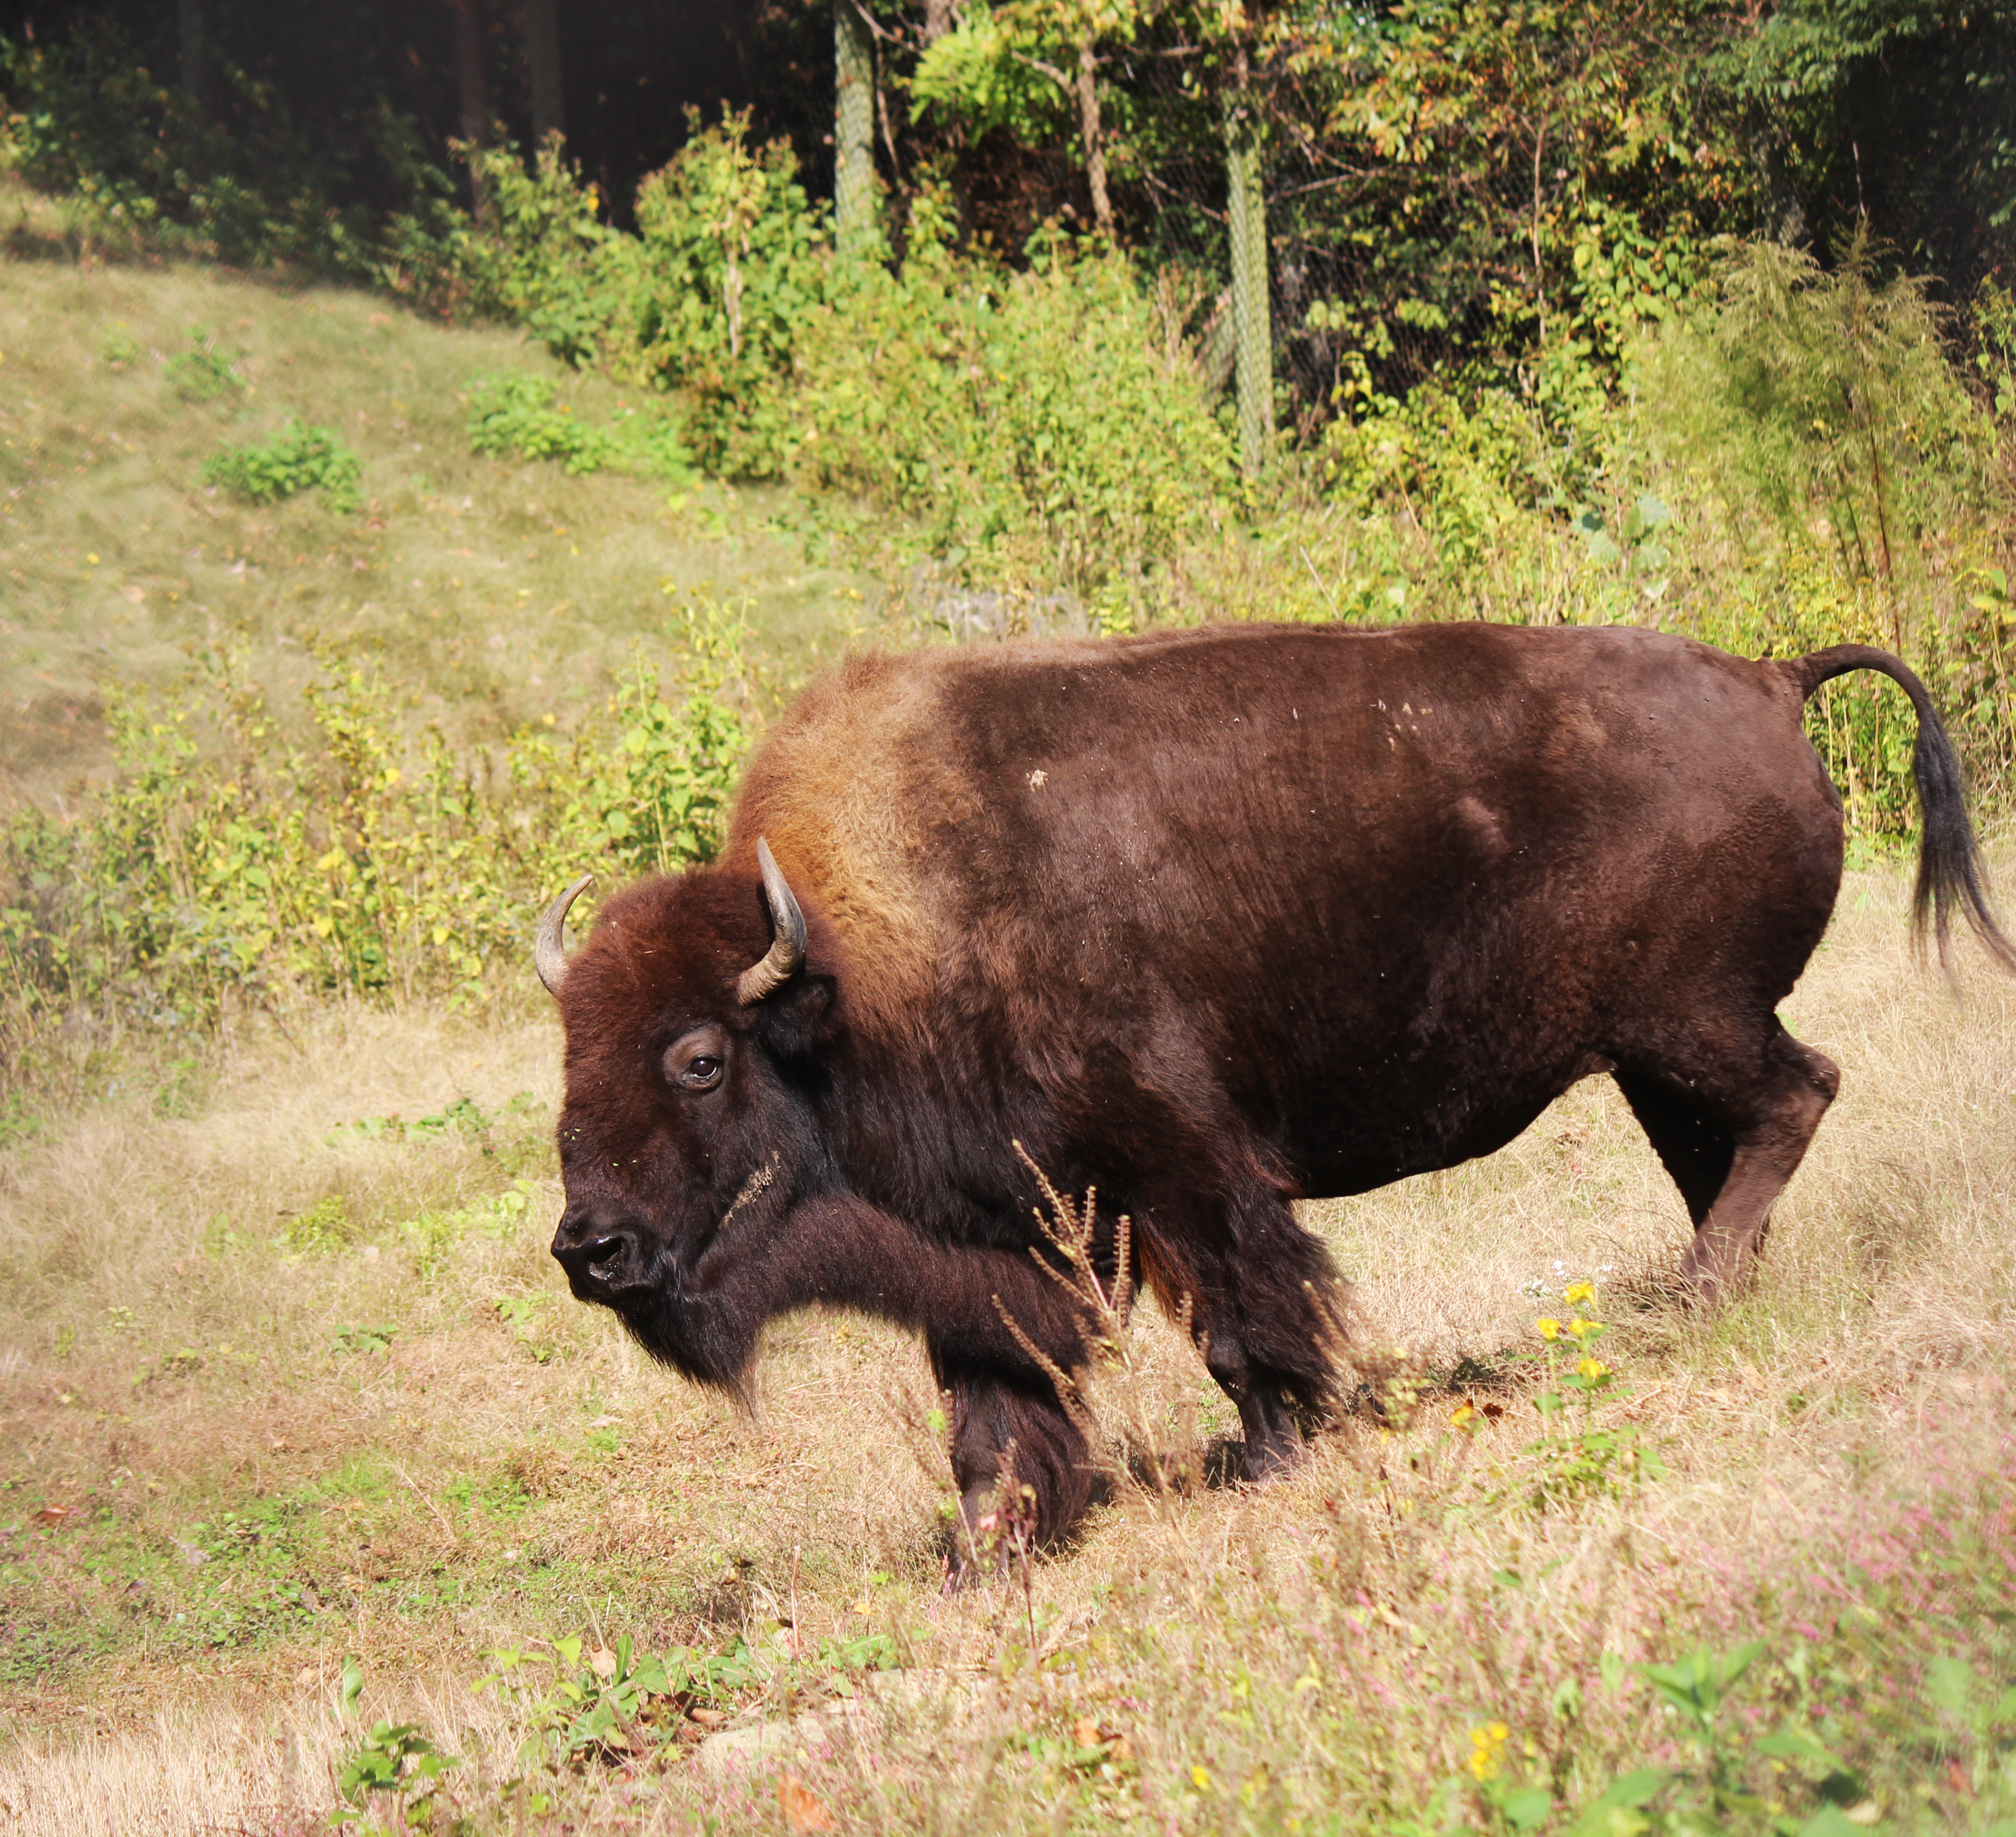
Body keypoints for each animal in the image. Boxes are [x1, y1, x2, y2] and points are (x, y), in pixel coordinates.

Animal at [536, 621, 2012, 1554]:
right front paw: (991, 1544)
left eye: (696, 1057)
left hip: (1689, 1022)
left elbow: (1245, 1328)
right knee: (1731, 1142)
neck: (854, 968)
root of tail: (1773, 677)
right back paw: (1709, 1292)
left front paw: (1273, 1455)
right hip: (1654, 1050)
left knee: (1796, 1095)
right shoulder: (992, 1240)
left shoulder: (1182, 1173)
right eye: (567, 1051)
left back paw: (1689, 1299)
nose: (585, 1247)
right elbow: (991, 1404)